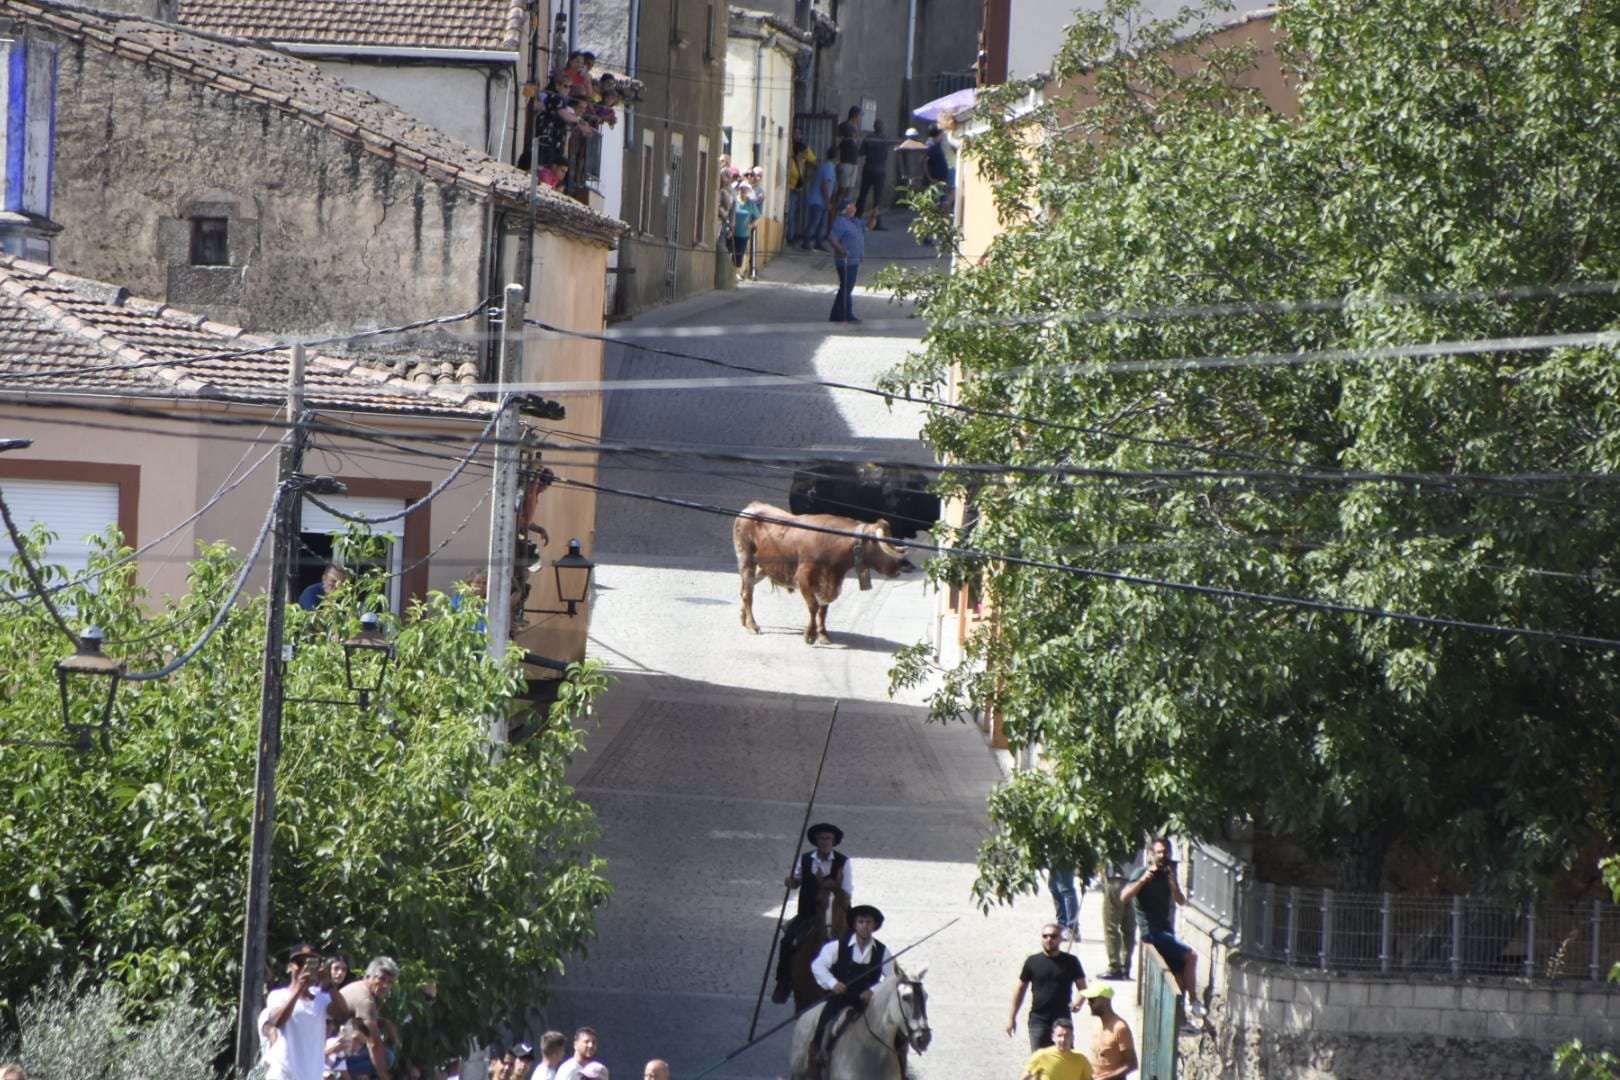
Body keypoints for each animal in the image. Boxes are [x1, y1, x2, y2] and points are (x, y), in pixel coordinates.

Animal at [738, 505, 913, 647]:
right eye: (883, 544)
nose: (897, 569)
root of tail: (752, 507)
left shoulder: (830, 581)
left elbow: (824, 609)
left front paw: (823, 635)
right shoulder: (803, 577)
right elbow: (814, 606)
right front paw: (810, 634)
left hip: (762, 567)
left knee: (745, 589)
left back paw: (743, 617)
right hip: (746, 559)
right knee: (747, 593)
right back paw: (752, 625)